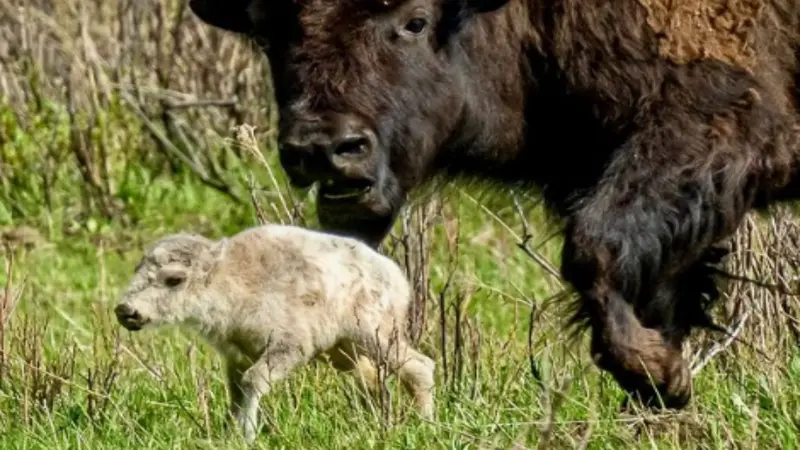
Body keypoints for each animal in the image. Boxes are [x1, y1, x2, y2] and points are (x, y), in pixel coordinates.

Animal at [114, 223, 432, 442]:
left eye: (174, 279)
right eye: (137, 269)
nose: (126, 310)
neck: (232, 279)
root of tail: (396, 276)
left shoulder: (289, 346)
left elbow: (253, 381)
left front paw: (247, 434)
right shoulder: (236, 357)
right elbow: (236, 392)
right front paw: (231, 432)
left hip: (376, 336)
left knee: (419, 367)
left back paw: (424, 423)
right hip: (344, 351)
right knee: (373, 380)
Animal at [189, 0, 800, 410]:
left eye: (416, 20)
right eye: (270, 31)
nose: (324, 147)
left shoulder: (714, 126)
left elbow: (594, 248)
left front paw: (656, 373)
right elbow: (654, 286)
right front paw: (663, 384)